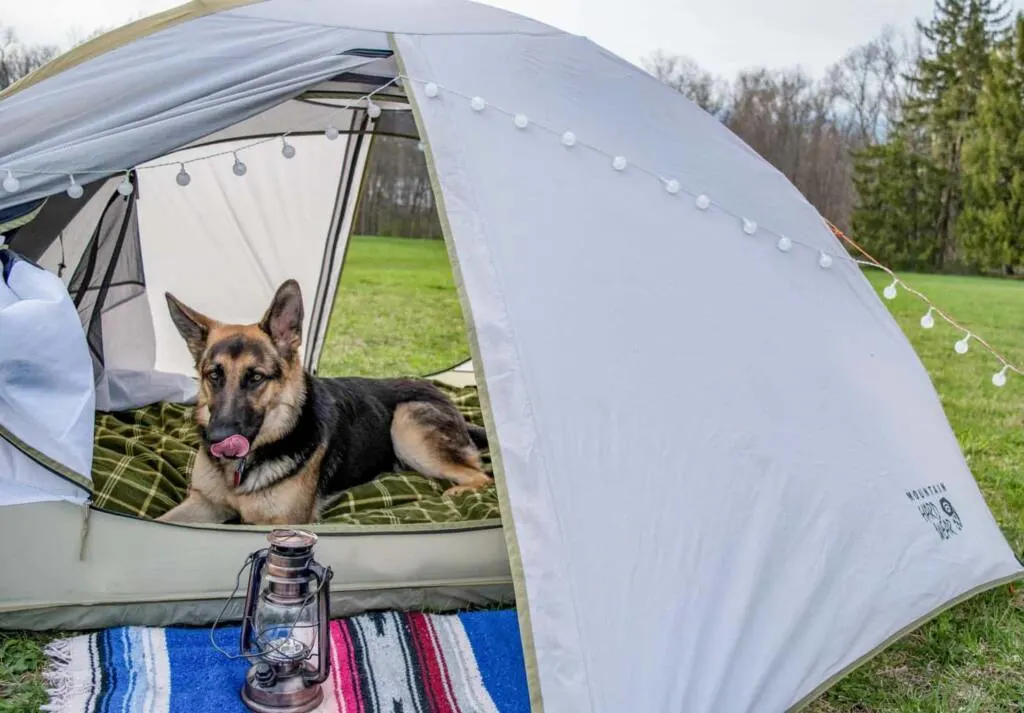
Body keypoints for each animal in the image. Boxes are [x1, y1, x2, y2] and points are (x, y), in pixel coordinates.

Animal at [155, 280, 491, 524]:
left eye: (256, 378)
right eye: (214, 375)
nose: (217, 439)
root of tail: (441, 394)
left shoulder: (281, 522)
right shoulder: (203, 503)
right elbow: (164, 520)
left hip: (406, 424)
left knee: (481, 474)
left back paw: (457, 491)